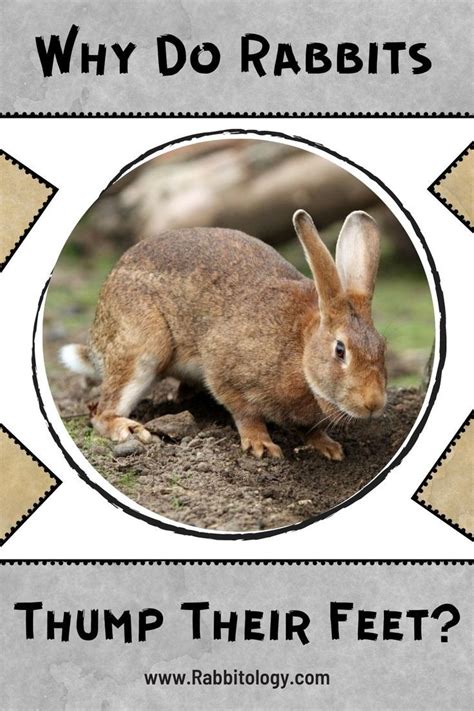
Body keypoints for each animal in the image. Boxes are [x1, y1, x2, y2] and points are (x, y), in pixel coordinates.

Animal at [60, 209, 387, 460]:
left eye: (382, 347)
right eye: (340, 350)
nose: (373, 404)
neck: (301, 348)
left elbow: (311, 429)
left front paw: (329, 448)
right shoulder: (225, 370)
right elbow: (245, 412)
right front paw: (262, 445)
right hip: (142, 347)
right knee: (102, 412)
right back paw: (128, 429)